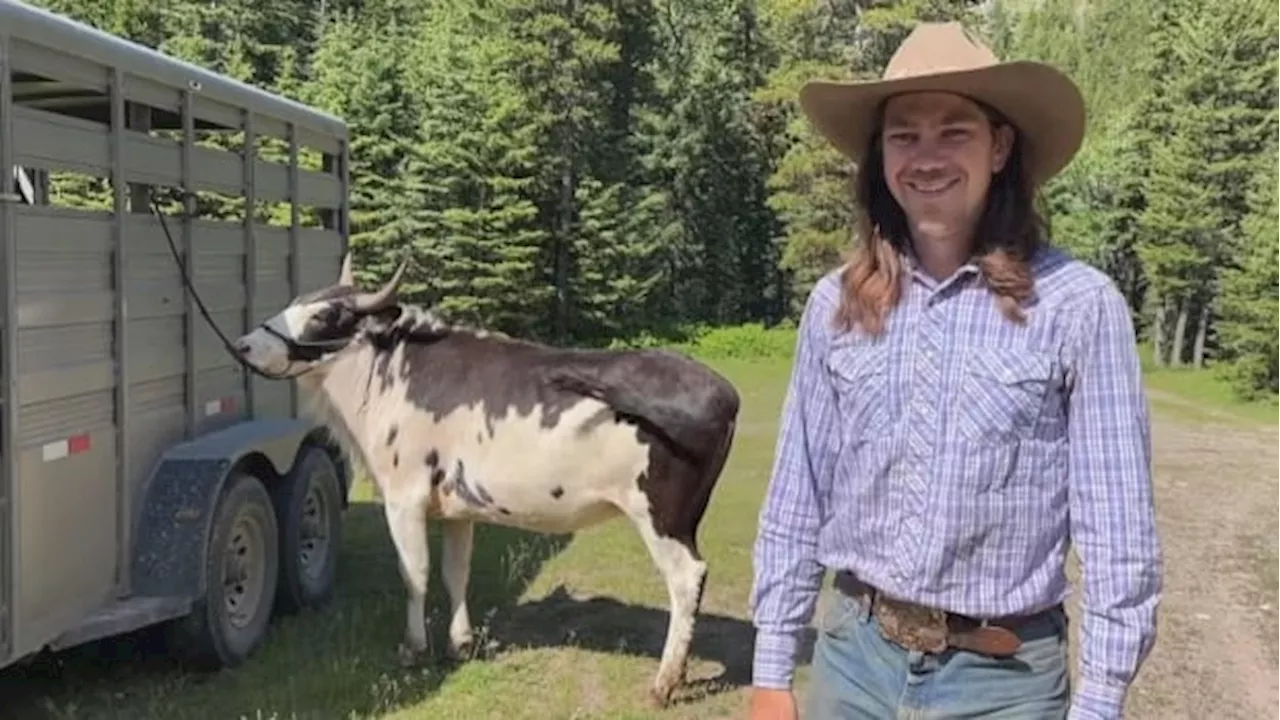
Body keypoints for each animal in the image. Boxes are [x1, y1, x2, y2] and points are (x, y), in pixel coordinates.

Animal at [230, 254, 742, 702]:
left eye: (325, 314)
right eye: (298, 300)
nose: (243, 345)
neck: (388, 378)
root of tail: (723, 390)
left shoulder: (404, 496)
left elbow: (414, 572)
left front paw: (414, 649)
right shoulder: (456, 505)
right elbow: (455, 571)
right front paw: (460, 642)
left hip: (661, 516)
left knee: (687, 578)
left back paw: (665, 682)